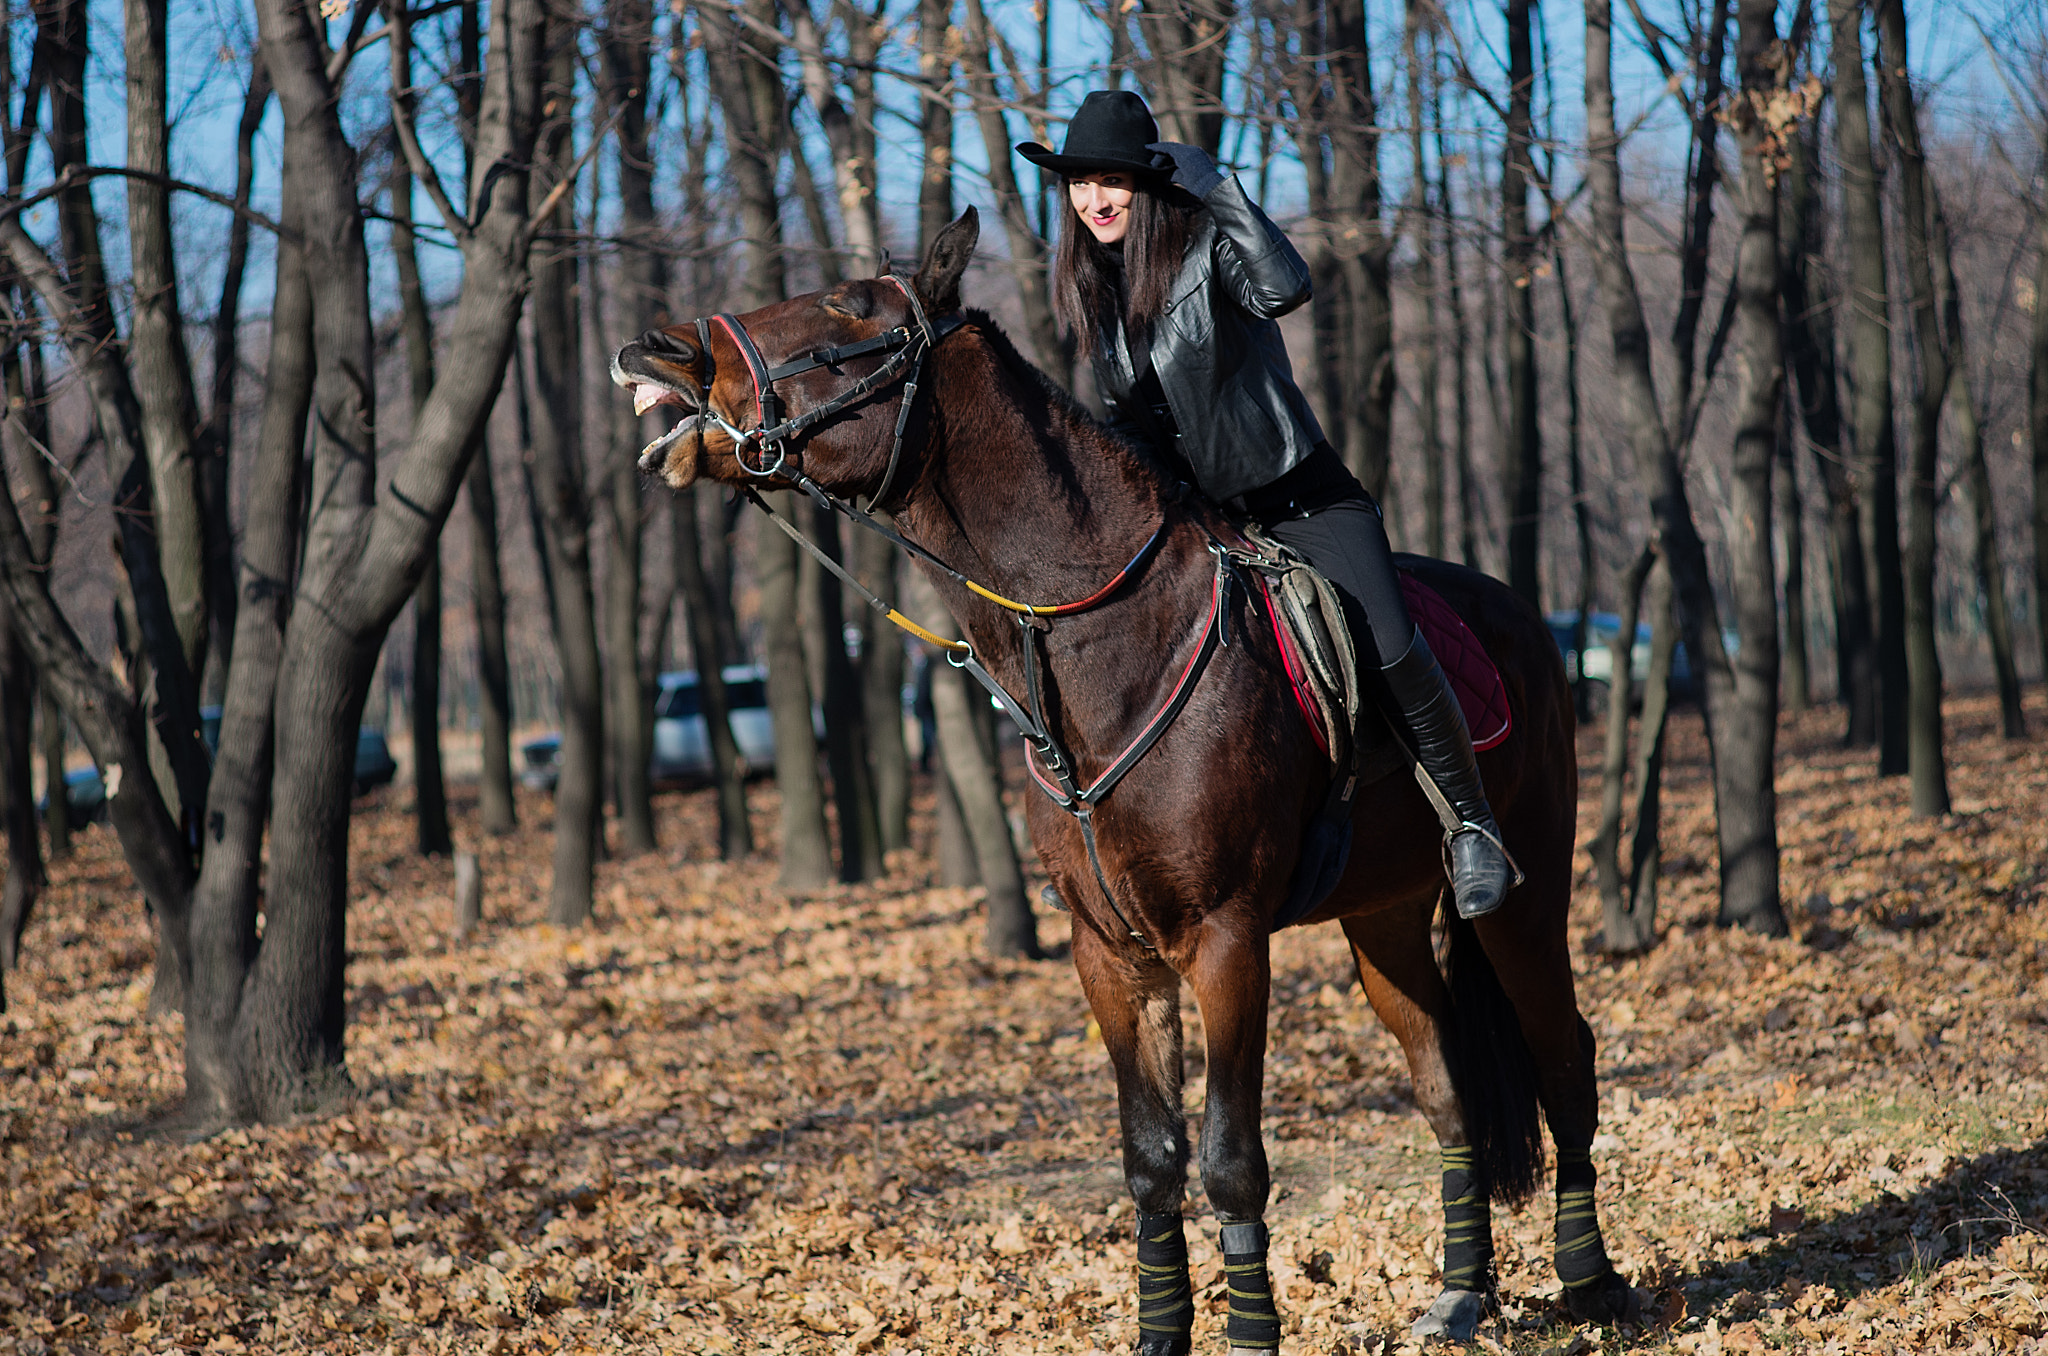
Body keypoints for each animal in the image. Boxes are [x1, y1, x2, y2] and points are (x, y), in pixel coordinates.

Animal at [606, 213, 1630, 1351]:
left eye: (845, 309)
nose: (658, 348)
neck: (1107, 642)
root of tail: (1526, 619)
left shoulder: (1224, 941)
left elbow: (1230, 1163)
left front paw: (1249, 1331)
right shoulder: (1109, 955)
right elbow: (1150, 1161)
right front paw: (1161, 1328)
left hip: (1524, 896)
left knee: (1564, 1058)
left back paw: (1593, 1282)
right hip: (1385, 919)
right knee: (1447, 1087)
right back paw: (1459, 1296)